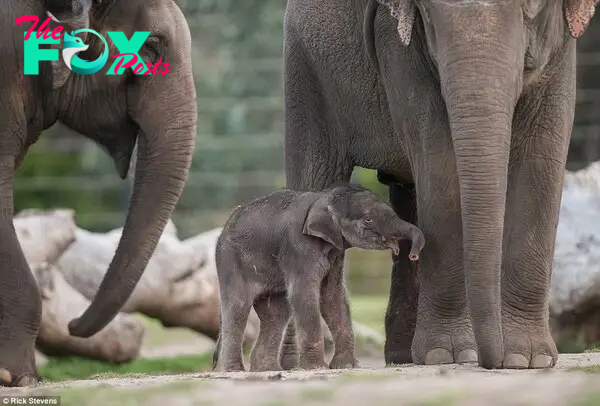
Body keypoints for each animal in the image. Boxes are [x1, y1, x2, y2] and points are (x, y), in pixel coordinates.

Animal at [213, 184, 424, 372]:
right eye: (368, 219)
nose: (412, 255)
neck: (322, 198)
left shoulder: (336, 253)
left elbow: (332, 296)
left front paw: (346, 366)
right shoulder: (298, 247)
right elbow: (304, 295)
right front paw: (316, 367)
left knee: (276, 314)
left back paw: (267, 369)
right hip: (230, 261)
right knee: (238, 308)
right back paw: (236, 371)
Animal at [284, 0, 596, 370]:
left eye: (532, 8)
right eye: (428, 14)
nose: (492, 361)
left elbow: (542, 154)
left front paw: (528, 359)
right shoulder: (397, 44)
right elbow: (439, 159)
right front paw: (449, 355)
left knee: (407, 196)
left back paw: (403, 357)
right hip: (305, 70)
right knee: (314, 175)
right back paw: (295, 364)